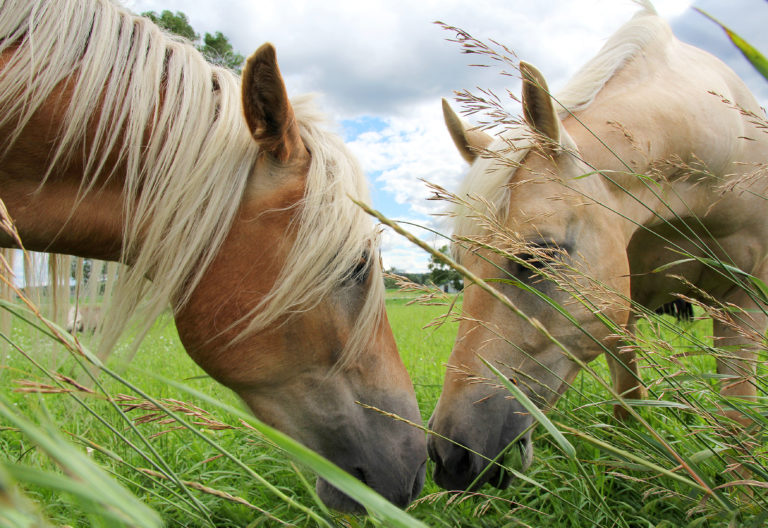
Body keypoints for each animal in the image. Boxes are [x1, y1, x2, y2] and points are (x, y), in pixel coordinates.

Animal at [429, 2, 768, 491]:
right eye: (459, 269)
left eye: (538, 256)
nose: (449, 459)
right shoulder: (617, 314)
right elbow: (628, 401)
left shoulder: (743, 301)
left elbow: (738, 423)